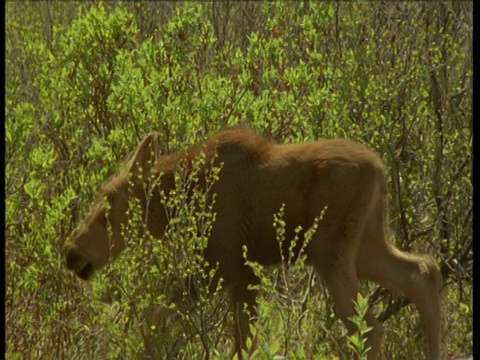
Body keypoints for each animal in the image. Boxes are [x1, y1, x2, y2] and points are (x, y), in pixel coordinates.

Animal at [63, 126, 442, 358]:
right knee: (423, 270)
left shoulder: (226, 267)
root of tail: (380, 169)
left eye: (107, 207)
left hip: (331, 253)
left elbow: (156, 320)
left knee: (370, 328)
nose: (70, 252)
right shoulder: (245, 275)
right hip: (365, 246)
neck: (177, 207)